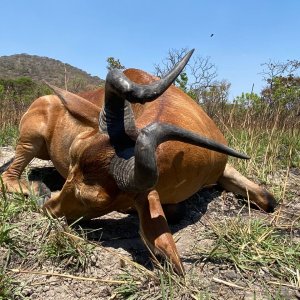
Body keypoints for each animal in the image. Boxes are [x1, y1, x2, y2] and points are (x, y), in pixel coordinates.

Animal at [0, 49, 276, 274]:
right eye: (72, 159)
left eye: (90, 200)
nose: (46, 208)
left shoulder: (223, 168)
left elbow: (268, 199)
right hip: (30, 142)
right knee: (9, 176)